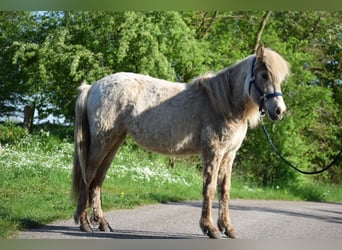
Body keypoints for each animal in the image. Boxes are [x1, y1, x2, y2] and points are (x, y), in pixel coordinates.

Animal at [71, 46, 288, 239]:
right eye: (264, 75)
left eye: (279, 79)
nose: (279, 111)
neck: (223, 103)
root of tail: (92, 87)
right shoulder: (213, 152)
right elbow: (209, 188)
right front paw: (210, 229)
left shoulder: (228, 155)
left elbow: (224, 190)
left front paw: (228, 228)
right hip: (101, 143)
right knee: (87, 177)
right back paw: (84, 223)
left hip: (113, 142)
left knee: (97, 181)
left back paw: (102, 223)